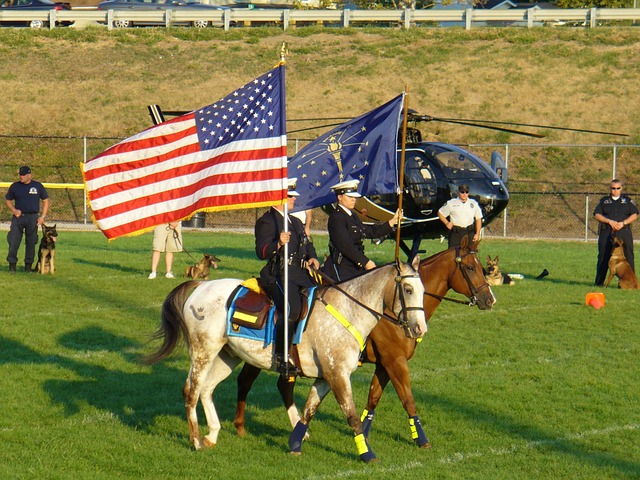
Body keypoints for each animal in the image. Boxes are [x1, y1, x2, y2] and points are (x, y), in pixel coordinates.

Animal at [234, 238, 496, 448]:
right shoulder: (395, 362)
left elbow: (373, 397)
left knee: (269, 383)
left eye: (481, 267)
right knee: (251, 382)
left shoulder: (384, 364)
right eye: (470, 267)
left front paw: (364, 433)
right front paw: (420, 439)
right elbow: (408, 401)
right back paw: (245, 426)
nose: (489, 299)